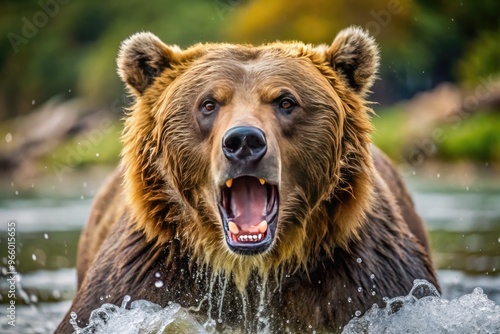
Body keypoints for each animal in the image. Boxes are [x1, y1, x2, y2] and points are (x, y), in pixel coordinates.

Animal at [55, 26, 438, 334]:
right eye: (209, 104)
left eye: (286, 101)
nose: (243, 141)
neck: (251, 271)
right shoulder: (143, 278)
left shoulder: (363, 278)